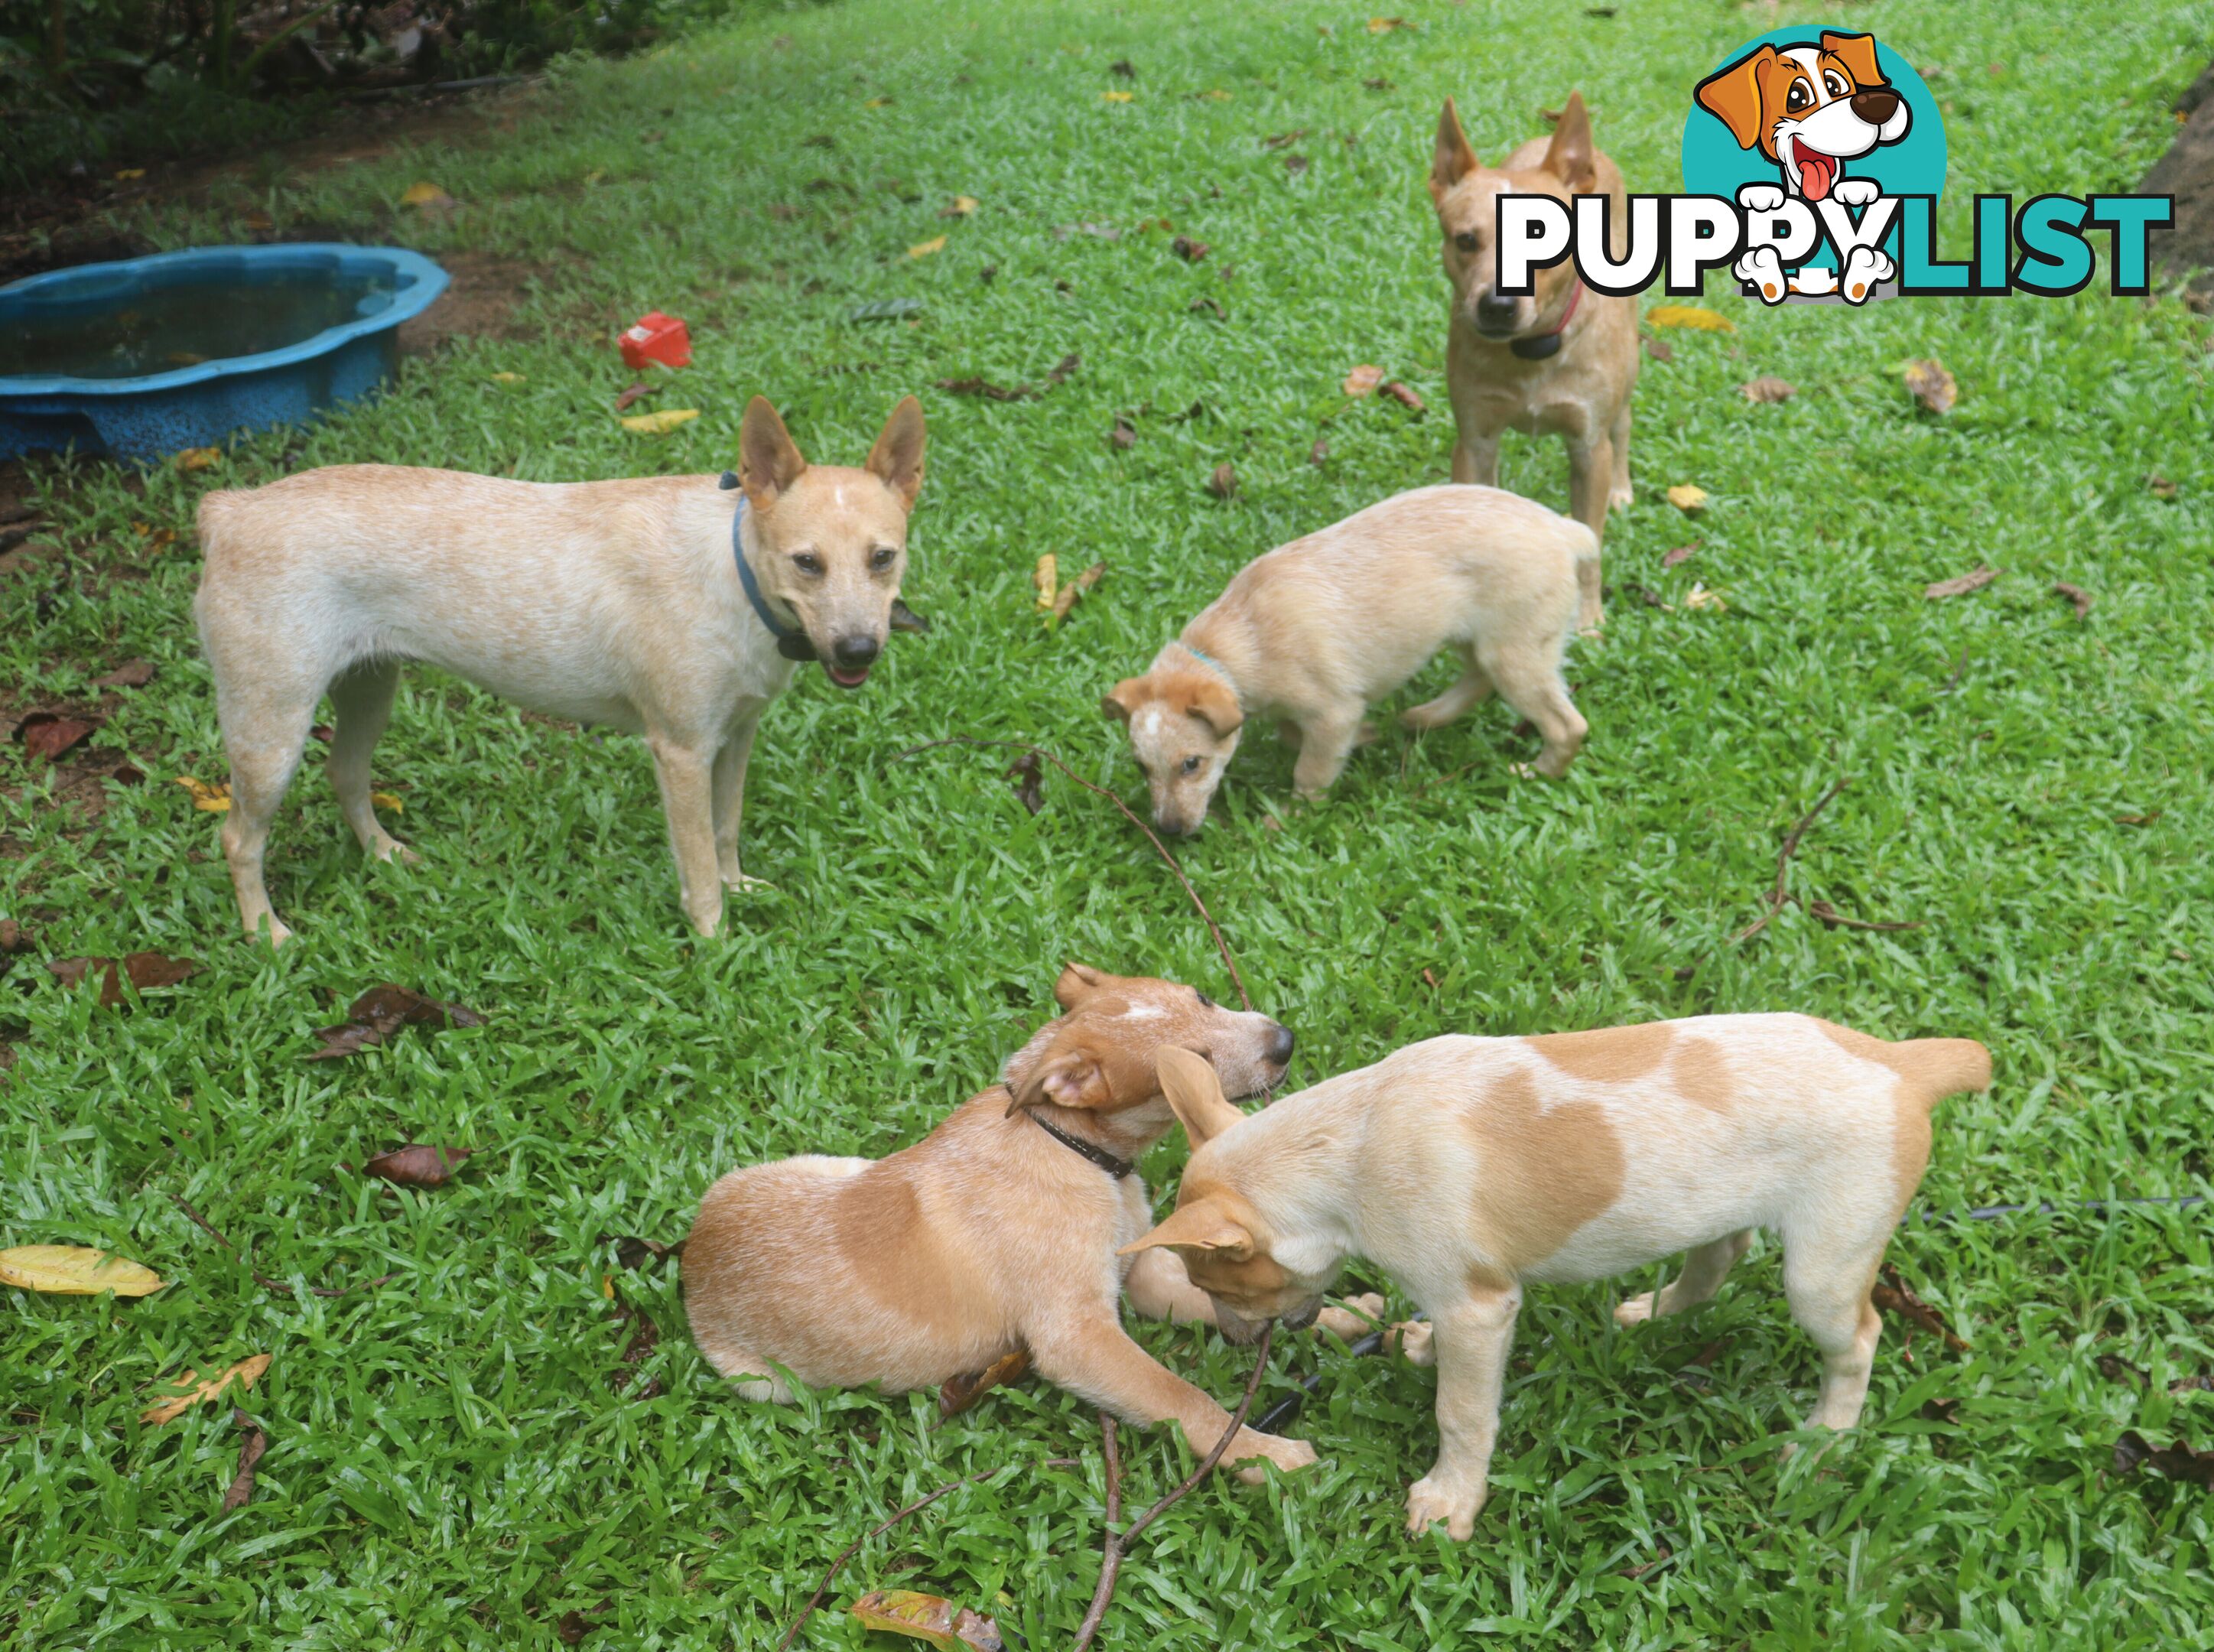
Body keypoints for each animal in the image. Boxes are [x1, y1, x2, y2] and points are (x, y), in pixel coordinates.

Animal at [186, 392, 921, 948]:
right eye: (807, 563)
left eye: (882, 558)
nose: (858, 650)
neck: (733, 570)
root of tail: (230, 510)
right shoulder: (681, 751)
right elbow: (697, 861)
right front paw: (715, 940)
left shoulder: (736, 736)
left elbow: (726, 827)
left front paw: (740, 886)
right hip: (269, 732)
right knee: (237, 837)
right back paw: (265, 934)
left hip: (370, 690)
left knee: (344, 773)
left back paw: (385, 854)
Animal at [681, 961, 1372, 1470]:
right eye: (1192, 1059)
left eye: (1202, 995)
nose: (1286, 1042)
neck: (1068, 1143)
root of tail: (691, 1262)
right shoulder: (1078, 1339)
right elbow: (1186, 1399)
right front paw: (1266, 1456)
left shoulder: (1141, 1276)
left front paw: (1352, 1315)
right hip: (764, 1384)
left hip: (829, 1165)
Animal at [1102, 483, 1594, 828]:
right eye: (1141, 767)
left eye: (1192, 764)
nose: (1169, 832)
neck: (1230, 647)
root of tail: (1564, 529)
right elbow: (1291, 735)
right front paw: (1364, 738)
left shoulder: (1333, 711)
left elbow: (1310, 770)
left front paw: (1291, 819)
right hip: (1472, 637)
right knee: (1476, 679)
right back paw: (1423, 717)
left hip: (1515, 655)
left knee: (1568, 725)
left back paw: (1533, 773)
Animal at [1124, 1010, 1992, 1541]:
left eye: (1222, 1291)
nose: (1238, 1343)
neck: (1344, 1144)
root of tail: (1898, 1064)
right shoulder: (1465, 1300)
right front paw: (1422, 1349)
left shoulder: (1480, 1307)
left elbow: (1461, 1414)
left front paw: (1451, 1500)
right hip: (1718, 1207)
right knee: (1718, 1256)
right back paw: (1661, 1314)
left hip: (1822, 1272)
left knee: (1860, 1338)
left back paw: (1824, 1438)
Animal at [1434, 92, 1647, 629]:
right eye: (1466, 240)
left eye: (1543, 238)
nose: (1497, 305)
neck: (1531, 353)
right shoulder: (1475, 439)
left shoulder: (1589, 449)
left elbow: (1589, 549)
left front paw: (1587, 619)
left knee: (1624, 424)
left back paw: (1622, 488)